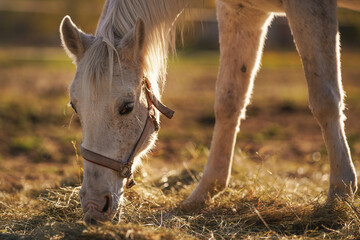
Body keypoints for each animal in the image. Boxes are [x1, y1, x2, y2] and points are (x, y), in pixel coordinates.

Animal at [60, 0, 358, 224]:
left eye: (127, 107)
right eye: (75, 107)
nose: (94, 205)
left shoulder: (309, 6)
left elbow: (324, 98)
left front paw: (340, 193)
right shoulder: (242, 12)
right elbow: (228, 101)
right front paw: (204, 193)